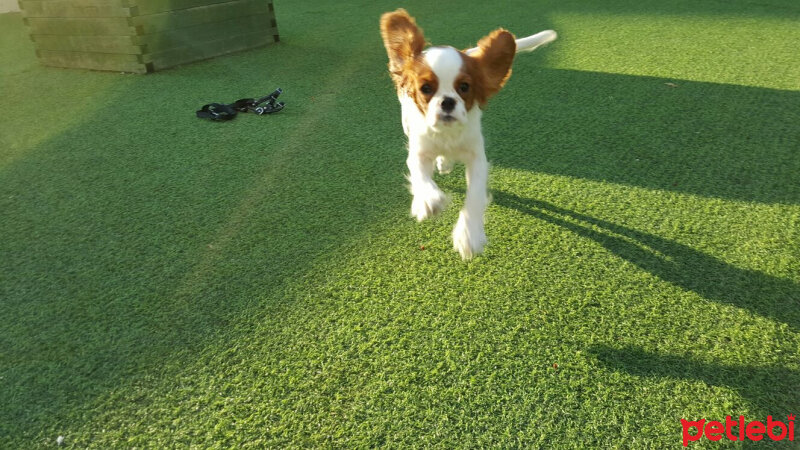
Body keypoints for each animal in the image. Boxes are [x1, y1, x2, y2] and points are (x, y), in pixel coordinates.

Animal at [380, 8, 556, 258]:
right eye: (426, 89)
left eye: (464, 87)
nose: (447, 101)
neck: (447, 134)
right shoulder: (418, 152)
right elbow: (420, 175)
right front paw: (428, 200)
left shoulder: (477, 158)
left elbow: (474, 196)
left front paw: (469, 235)